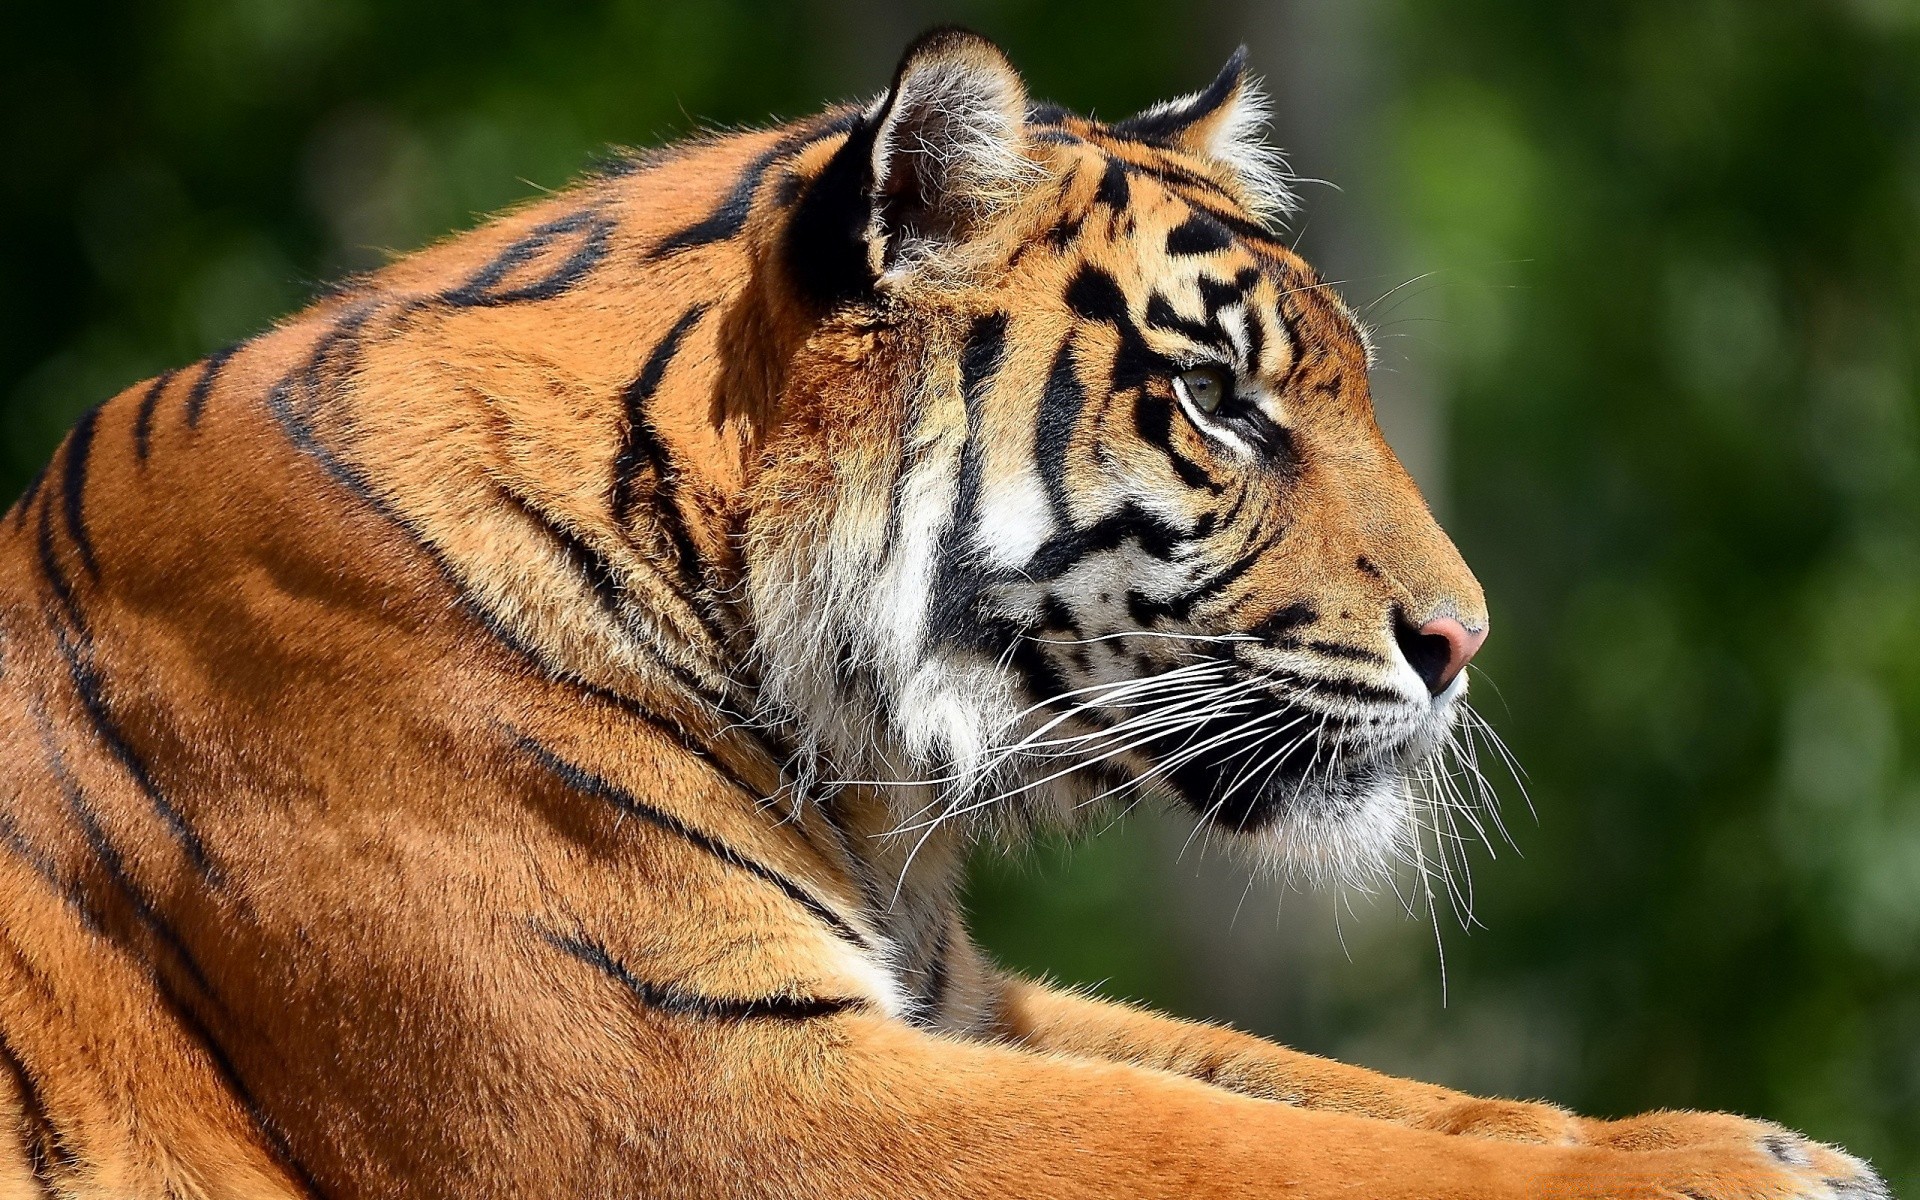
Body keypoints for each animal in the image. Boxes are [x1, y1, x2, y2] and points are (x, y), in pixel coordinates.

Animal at [0, 28, 1889, 1198]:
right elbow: (1244, 1151)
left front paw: (1747, 1140)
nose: (1463, 644)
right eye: (1217, 400)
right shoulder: (697, 1093)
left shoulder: (953, 1005)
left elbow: (1340, 1092)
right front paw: (1726, 1173)